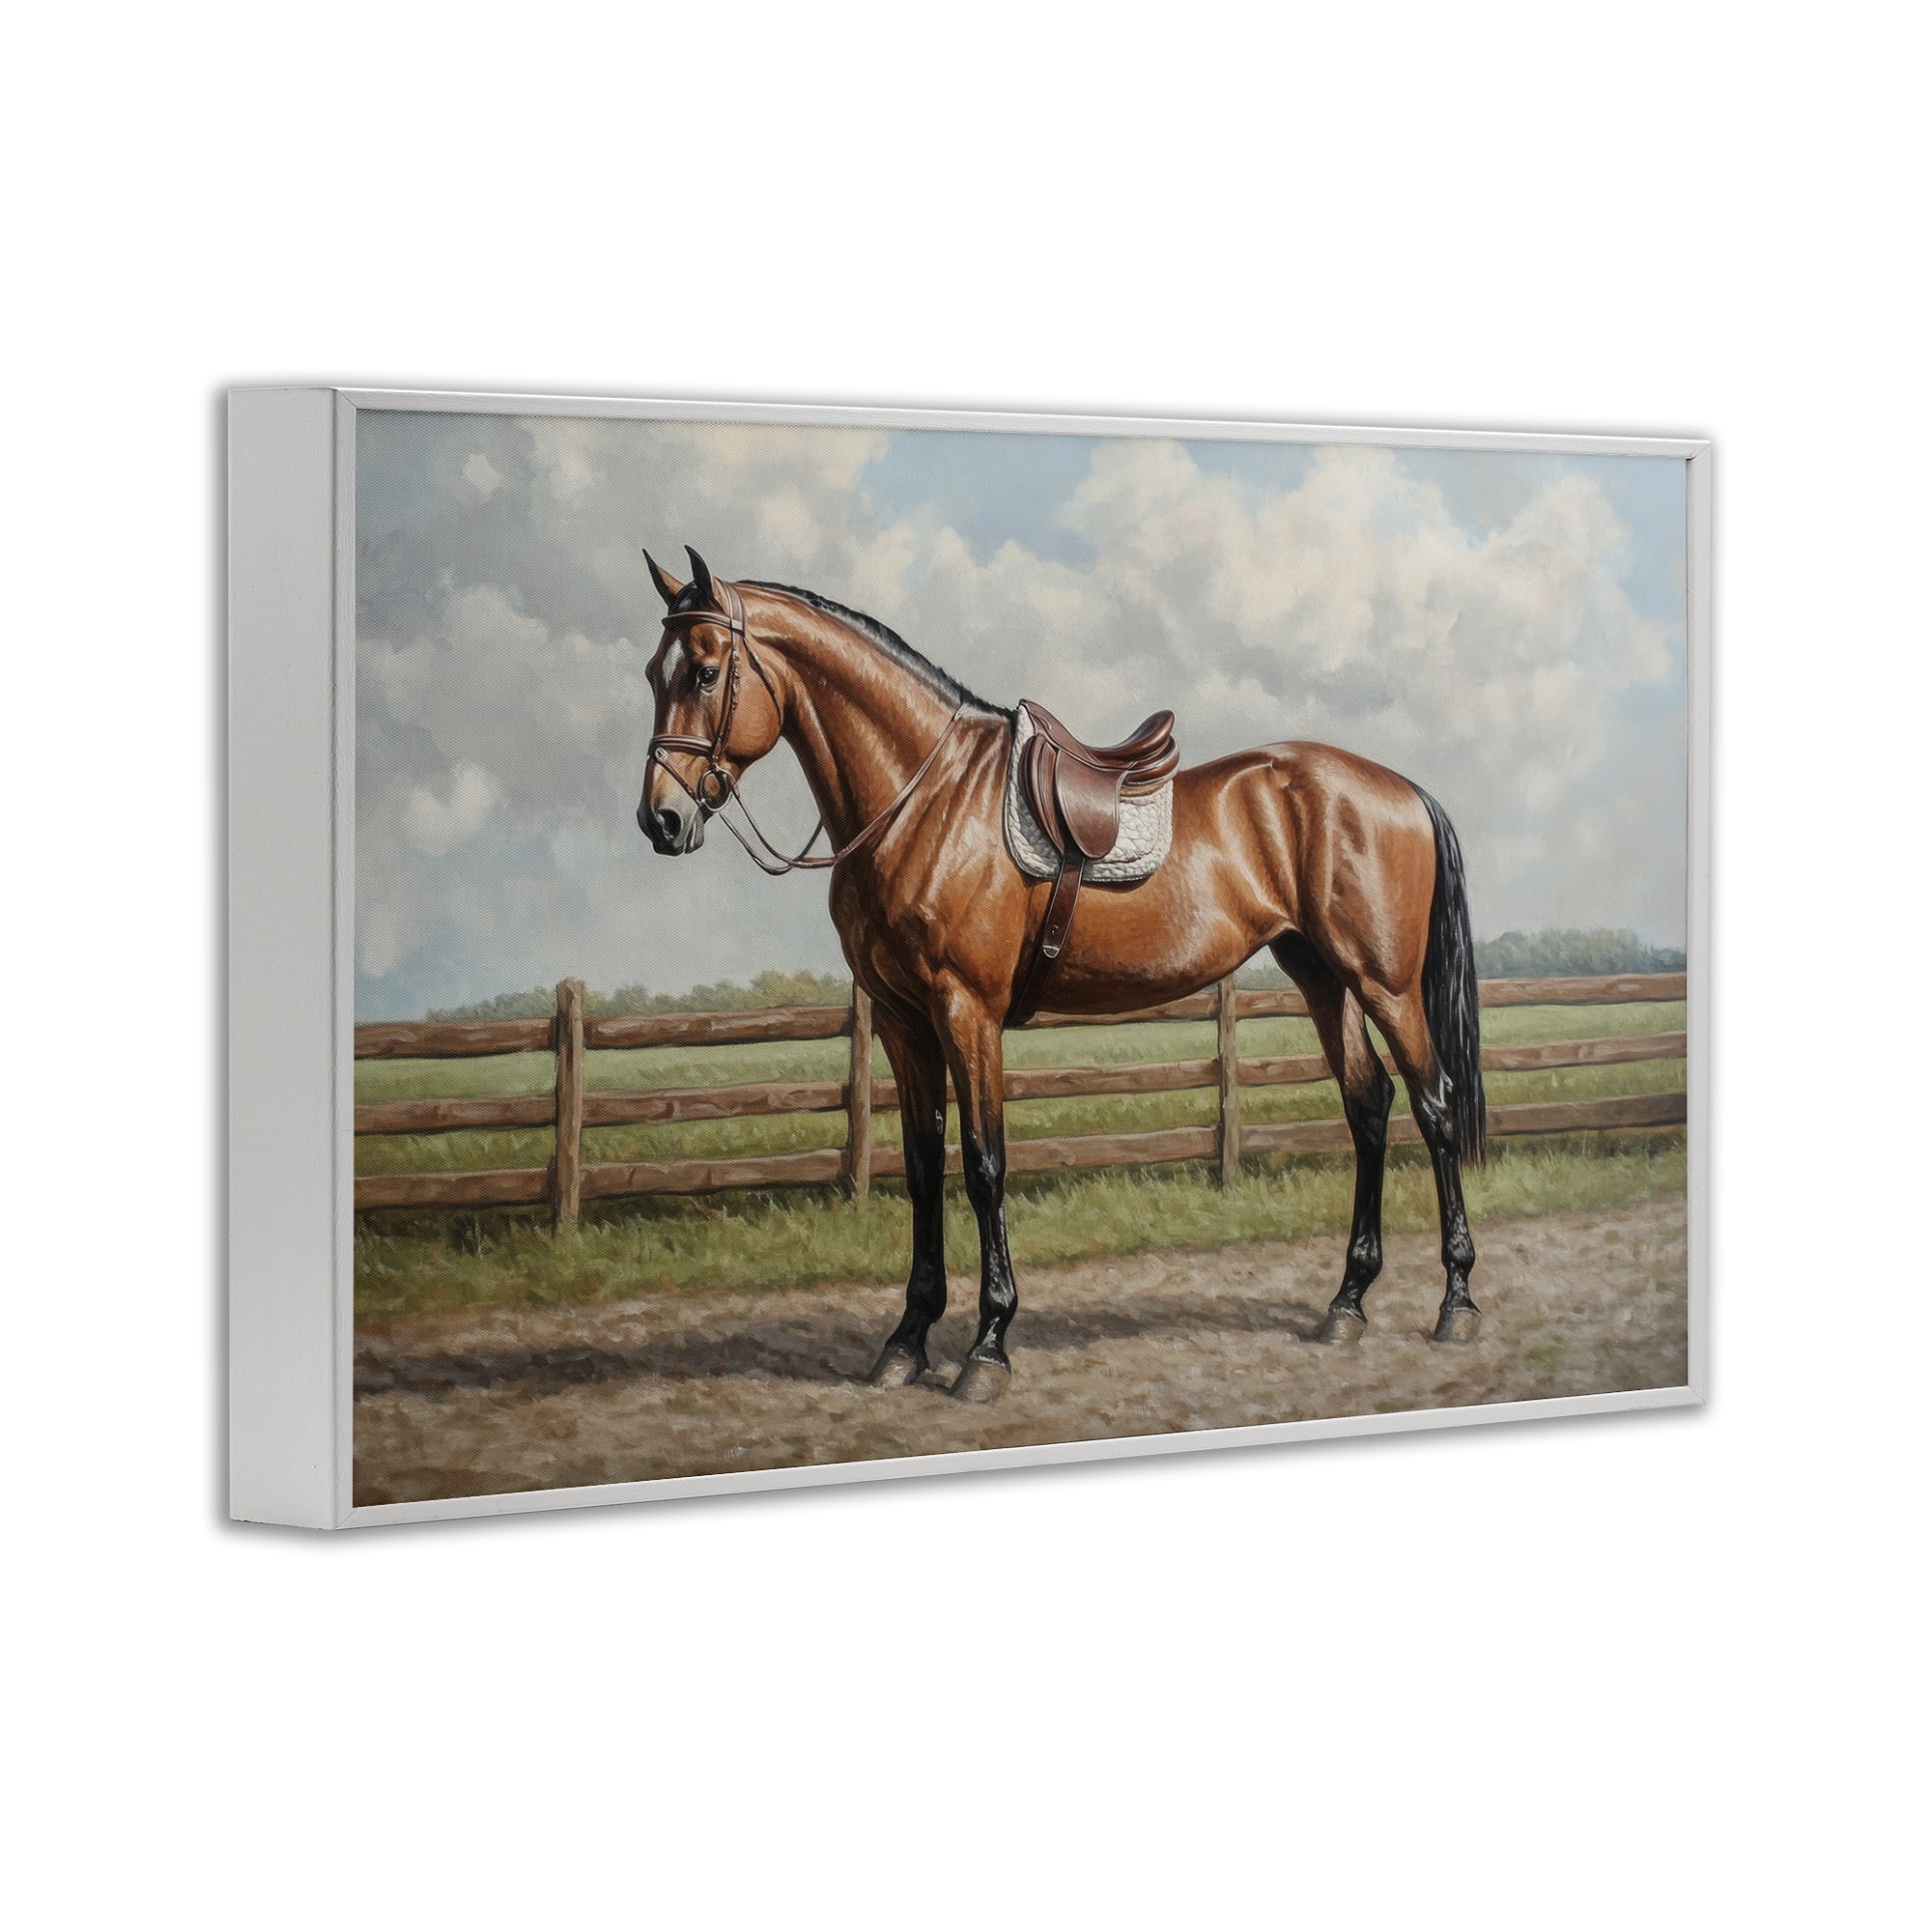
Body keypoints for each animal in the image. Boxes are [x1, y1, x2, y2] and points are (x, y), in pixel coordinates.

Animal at [636, 547, 1486, 1404]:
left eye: (704, 673)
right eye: (652, 672)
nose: (660, 820)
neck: (923, 800)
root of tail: (1402, 790)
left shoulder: (966, 1011)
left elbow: (984, 1167)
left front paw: (987, 1346)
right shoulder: (904, 1023)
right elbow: (921, 1167)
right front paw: (907, 1340)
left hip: (1384, 984)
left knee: (1435, 1107)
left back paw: (1457, 1303)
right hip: (1321, 977)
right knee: (1368, 1106)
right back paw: (1347, 1303)